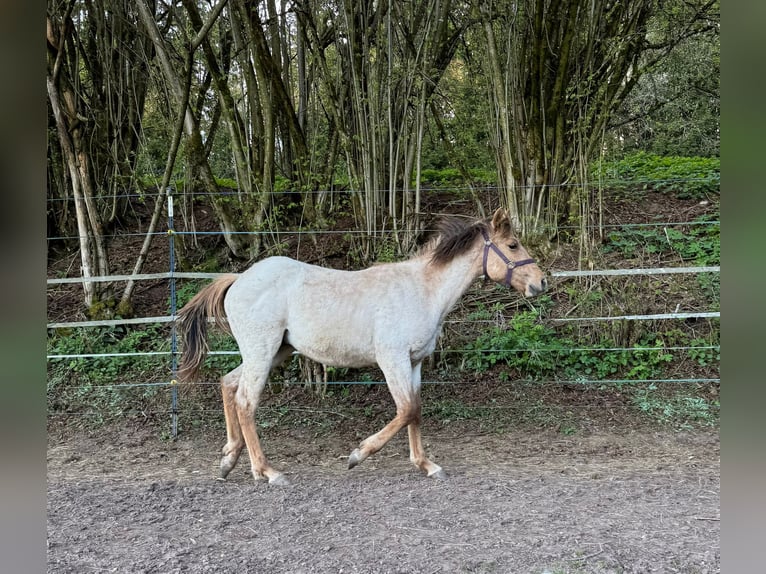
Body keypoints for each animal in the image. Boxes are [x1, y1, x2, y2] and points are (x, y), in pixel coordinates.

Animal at [176, 208, 547, 485]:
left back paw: (229, 459)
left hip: (274, 352)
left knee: (227, 383)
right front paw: (358, 455)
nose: (541, 282)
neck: (422, 290)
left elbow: (415, 409)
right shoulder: (391, 359)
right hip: (262, 352)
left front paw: (427, 465)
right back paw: (266, 472)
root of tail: (238, 279)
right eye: (513, 245)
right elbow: (406, 410)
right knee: (245, 401)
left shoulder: (414, 362)